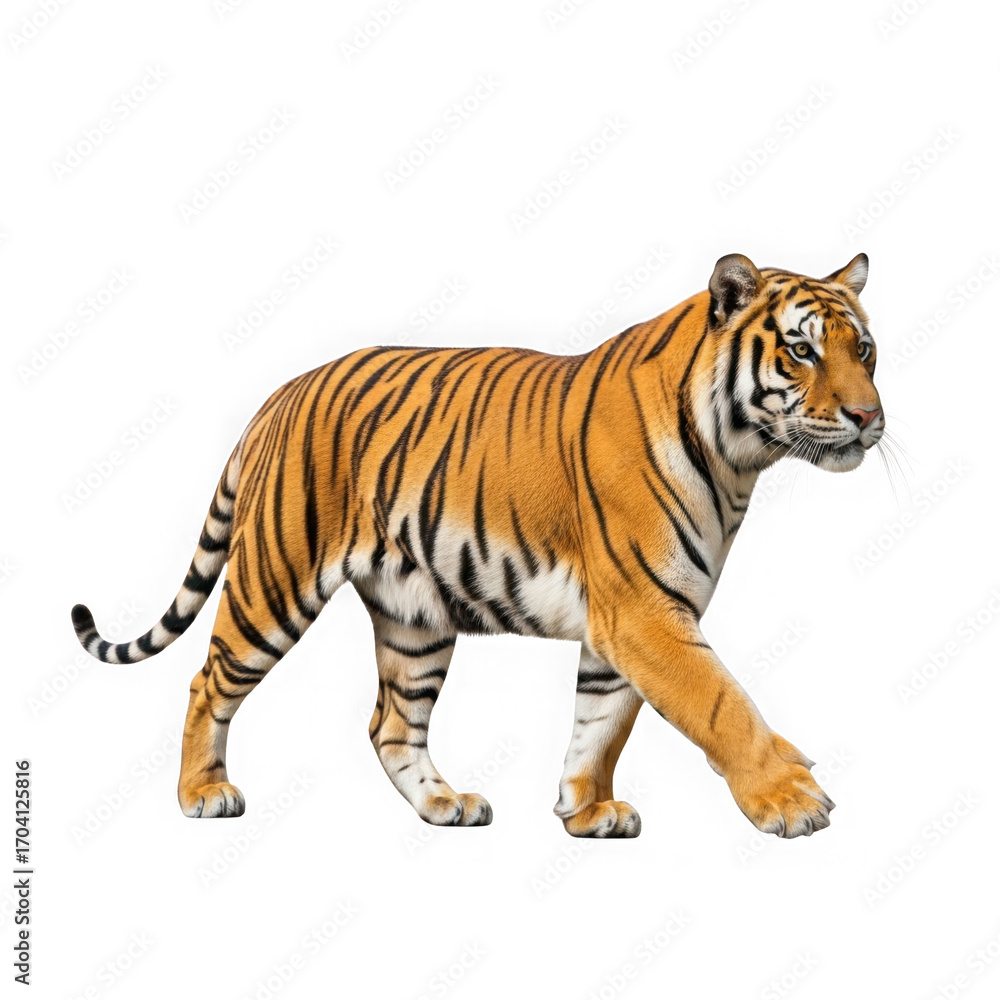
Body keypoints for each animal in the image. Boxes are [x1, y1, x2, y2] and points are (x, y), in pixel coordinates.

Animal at [71, 251, 883, 839]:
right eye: (802, 350)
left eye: (866, 349)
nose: (870, 417)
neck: (737, 462)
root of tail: (281, 393)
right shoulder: (645, 613)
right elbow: (721, 703)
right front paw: (791, 798)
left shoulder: (627, 620)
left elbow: (603, 721)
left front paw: (587, 810)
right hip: (275, 580)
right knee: (208, 681)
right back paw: (203, 795)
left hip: (415, 618)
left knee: (391, 723)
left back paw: (446, 805)